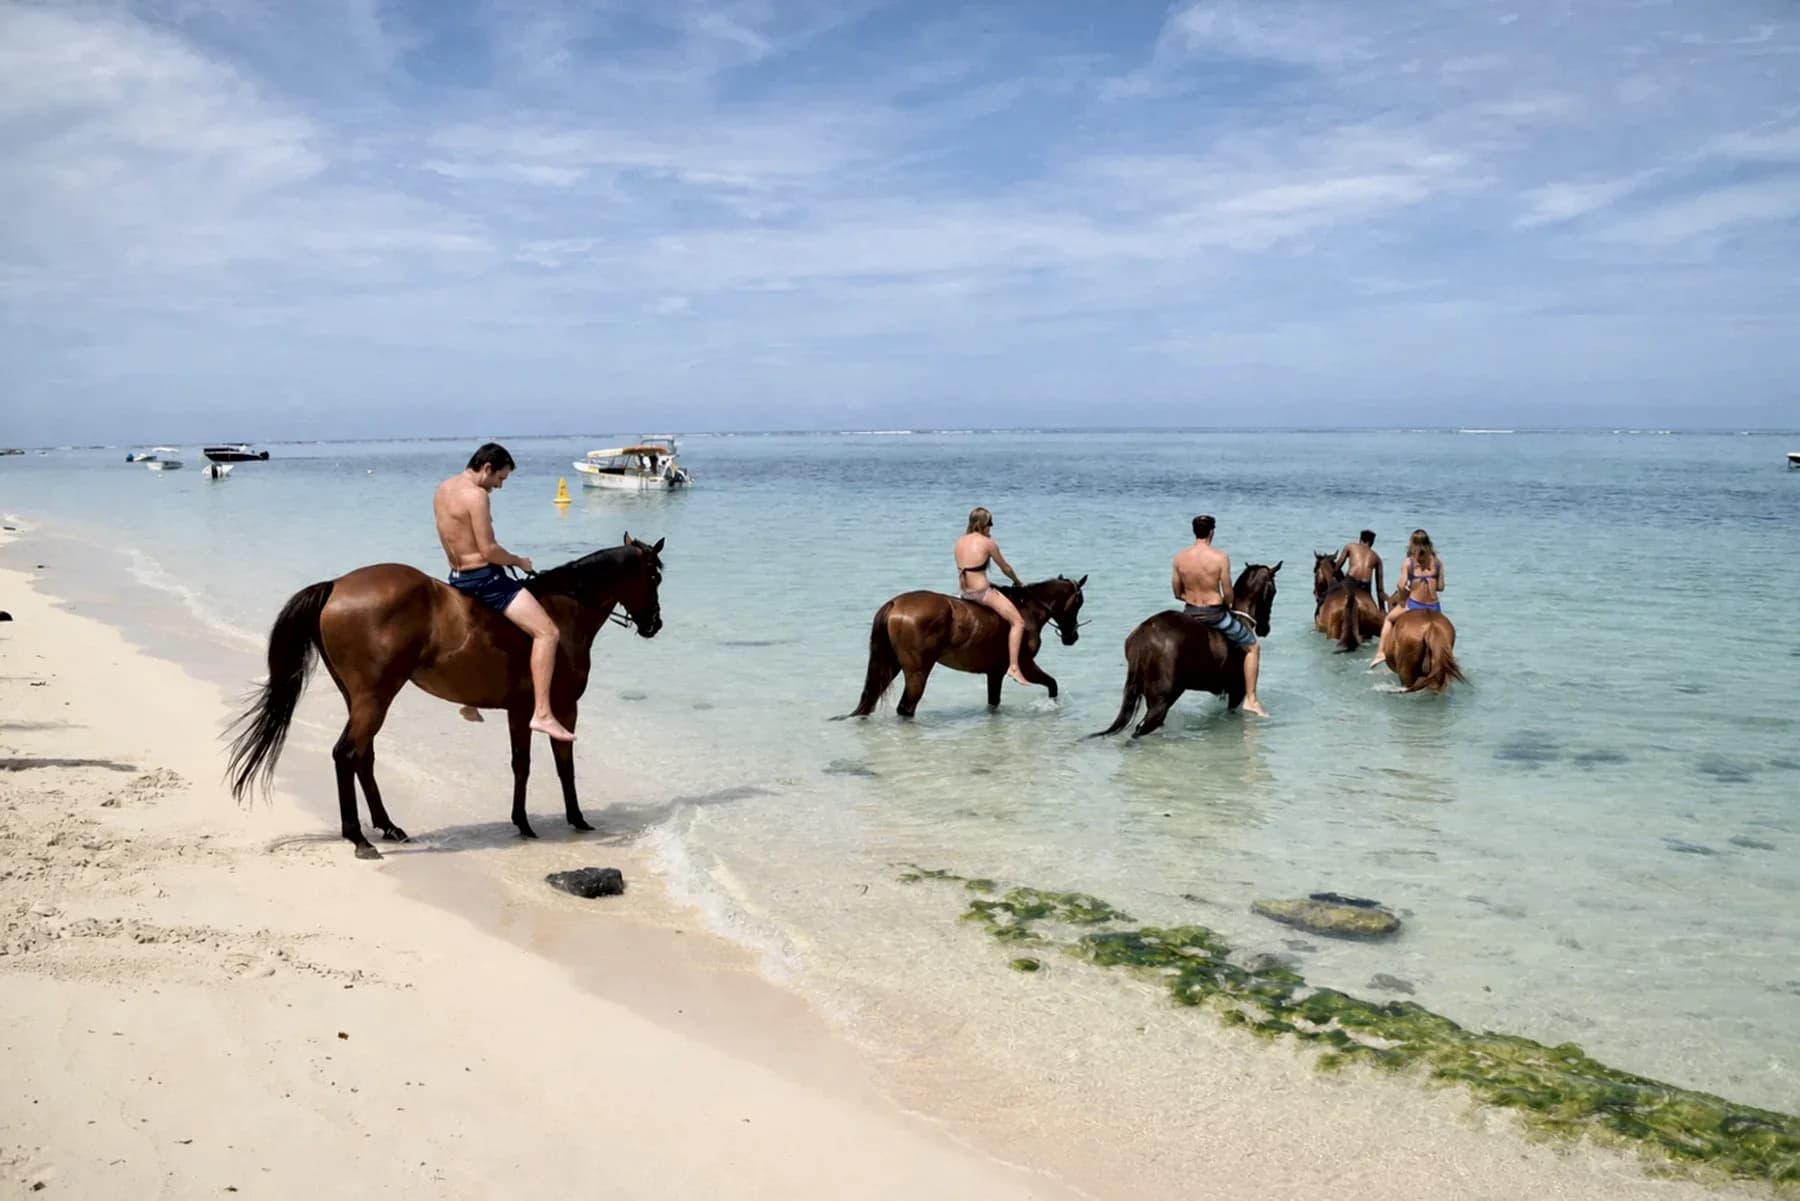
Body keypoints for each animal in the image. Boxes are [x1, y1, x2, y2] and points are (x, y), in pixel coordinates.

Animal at [227, 535, 666, 858]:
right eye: (655, 578)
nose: (655, 624)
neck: (564, 609)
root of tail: (336, 586)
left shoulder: (518, 711)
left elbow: (520, 765)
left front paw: (523, 822)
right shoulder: (561, 709)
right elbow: (562, 766)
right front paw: (575, 819)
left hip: (360, 699)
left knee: (362, 757)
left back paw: (388, 827)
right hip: (374, 698)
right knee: (345, 754)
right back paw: (359, 838)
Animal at [844, 576, 1088, 719]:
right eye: (1079, 602)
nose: (1072, 637)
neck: (1026, 610)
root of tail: (895, 604)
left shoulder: (995, 672)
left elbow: (994, 702)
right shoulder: (1025, 665)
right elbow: (1052, 684)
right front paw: (1052, 706)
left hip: (891, 664)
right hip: (917, 672)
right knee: (906, 707)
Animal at [1093, 563, 1281, 739]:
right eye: (1274, 590)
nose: (1265, 629)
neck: (1241, 617)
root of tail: (1144, 635)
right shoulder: (1237, 691)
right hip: (1162, 701)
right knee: (1140, 731)